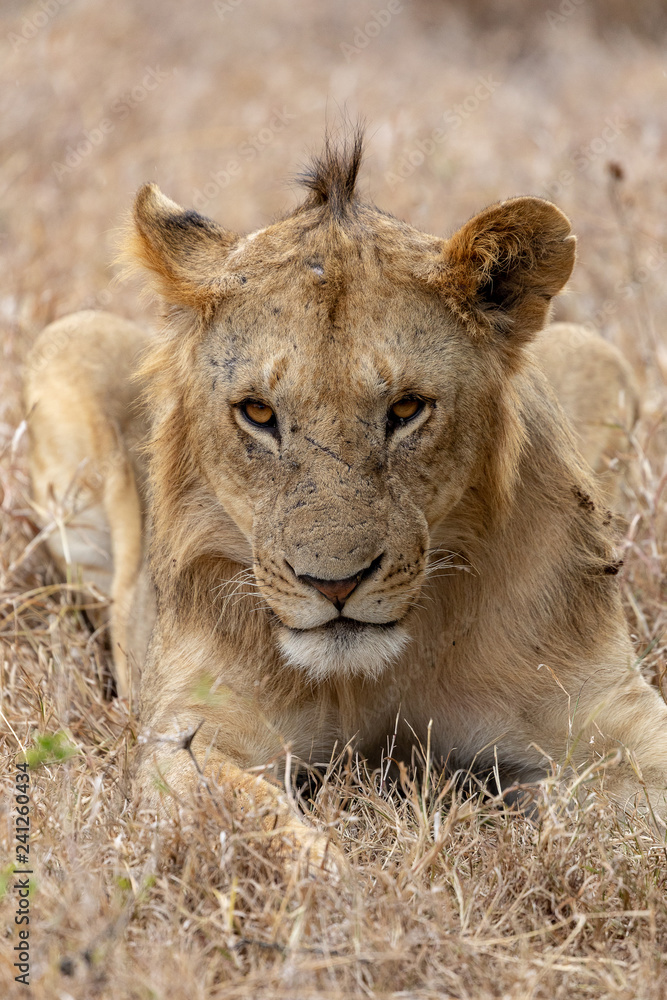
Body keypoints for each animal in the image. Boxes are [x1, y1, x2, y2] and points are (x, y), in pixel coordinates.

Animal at [24, 136, 667, 853]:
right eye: (258, 412)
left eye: (407, 409)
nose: (334, 585)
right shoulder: (188, 739)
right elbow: (268, 828)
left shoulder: (611, 718)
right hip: (67, 344)